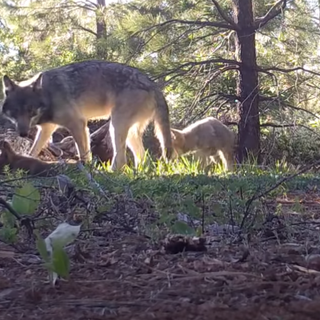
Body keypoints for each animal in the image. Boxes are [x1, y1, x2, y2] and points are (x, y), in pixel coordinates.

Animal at [1, 59, 172, 170]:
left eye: (30, 110)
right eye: (15, 112)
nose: (23, 134)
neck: (48, 95)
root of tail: (153, 85)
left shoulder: (78, 124)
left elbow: (84, 153)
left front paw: (86, 168)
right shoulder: (47, 129)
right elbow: (34, 150)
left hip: (115, 126)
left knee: (122, 160)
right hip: (128, 134)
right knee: (143, 159)